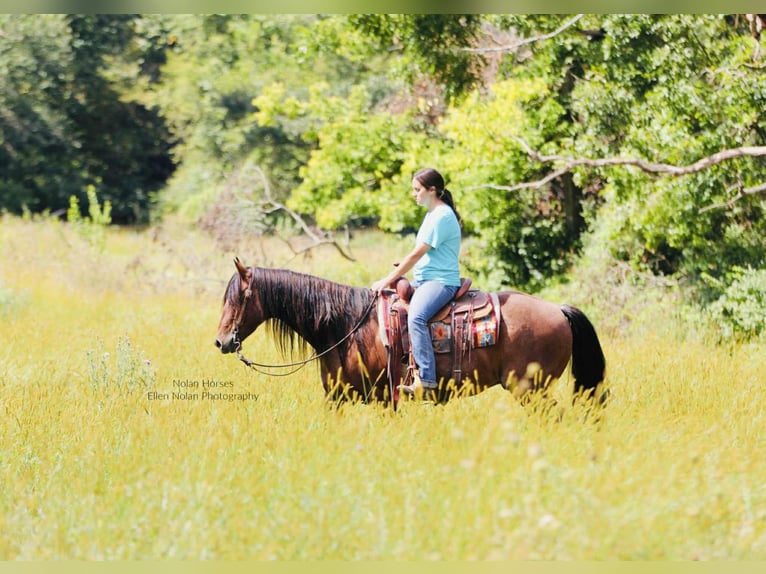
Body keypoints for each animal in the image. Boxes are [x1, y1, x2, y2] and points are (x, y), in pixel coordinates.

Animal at [214, 258, 606, 407]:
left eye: (238, 298)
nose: (221, 341)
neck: (347, 326)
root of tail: (558, 309)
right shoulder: (339, 397)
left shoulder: (383, 396)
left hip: (530, 389)